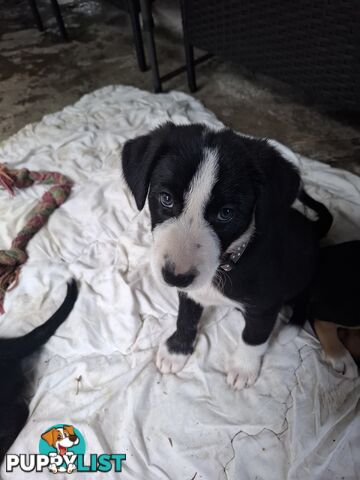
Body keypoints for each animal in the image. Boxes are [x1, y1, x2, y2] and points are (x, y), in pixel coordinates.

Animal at [121, 124, 332, 390]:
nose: (175, 278)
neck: (226, 264)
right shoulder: (191, 292)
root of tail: (312, 229)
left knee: (305, 296)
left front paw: (243, 368)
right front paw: (177, 351)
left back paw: (291, 326)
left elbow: (253, 337)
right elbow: (186, 317)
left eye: (226, 213)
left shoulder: (266, 305)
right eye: (166, 198)